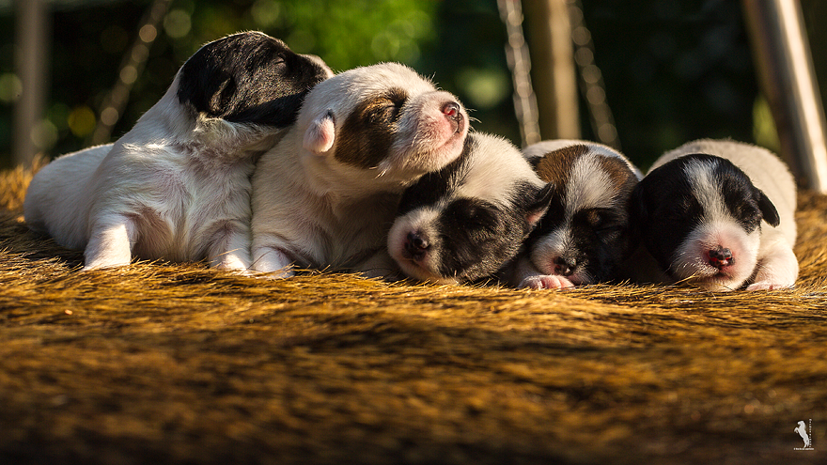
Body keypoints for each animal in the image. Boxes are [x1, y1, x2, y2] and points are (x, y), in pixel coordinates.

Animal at [23, 31, 334, 272]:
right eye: (280, 62)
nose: (325, 65)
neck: (203, 158)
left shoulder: (231, 222)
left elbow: (231, 251)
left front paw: (238, 272)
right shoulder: (119, 205)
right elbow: (111, 239)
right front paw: (105, 268)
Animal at [249, 61, 468, 276]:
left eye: (429, 87)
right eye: (387, 108)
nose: (453, 108)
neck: (347, 200)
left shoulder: (376, 253)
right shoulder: (275, 234)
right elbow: (273, 267)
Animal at [632, 138, 800, 290]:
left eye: (748, 216)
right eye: (676, 218)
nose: (722, 255)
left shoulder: (771, 240)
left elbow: (780, 259)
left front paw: (767, 285)